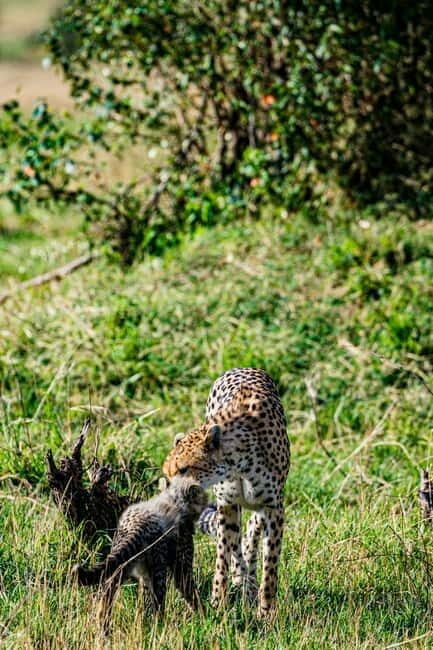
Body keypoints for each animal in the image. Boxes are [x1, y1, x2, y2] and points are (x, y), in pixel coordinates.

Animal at [73, 476, 207, 634]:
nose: (207, 502)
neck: (174, 499)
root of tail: (136, 525)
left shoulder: (143, 574)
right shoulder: (180, 564)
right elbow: (189, 590)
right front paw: (206, 617)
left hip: (122, 562)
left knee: (109, 590)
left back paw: (103, 627)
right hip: (158, 568)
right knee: (158, 602)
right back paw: (159, 628)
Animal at [163, 367, 290, 618]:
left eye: (184, 469)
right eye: (168, 473)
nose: (170, 496)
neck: (238, 462)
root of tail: (243, 367)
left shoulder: (273, 507)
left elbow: (270, 566)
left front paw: (266, 613)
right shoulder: (227, 504)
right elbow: (223, 556)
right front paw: (218, 603)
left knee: (251, 532)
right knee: (238, 545)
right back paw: (243, 583)